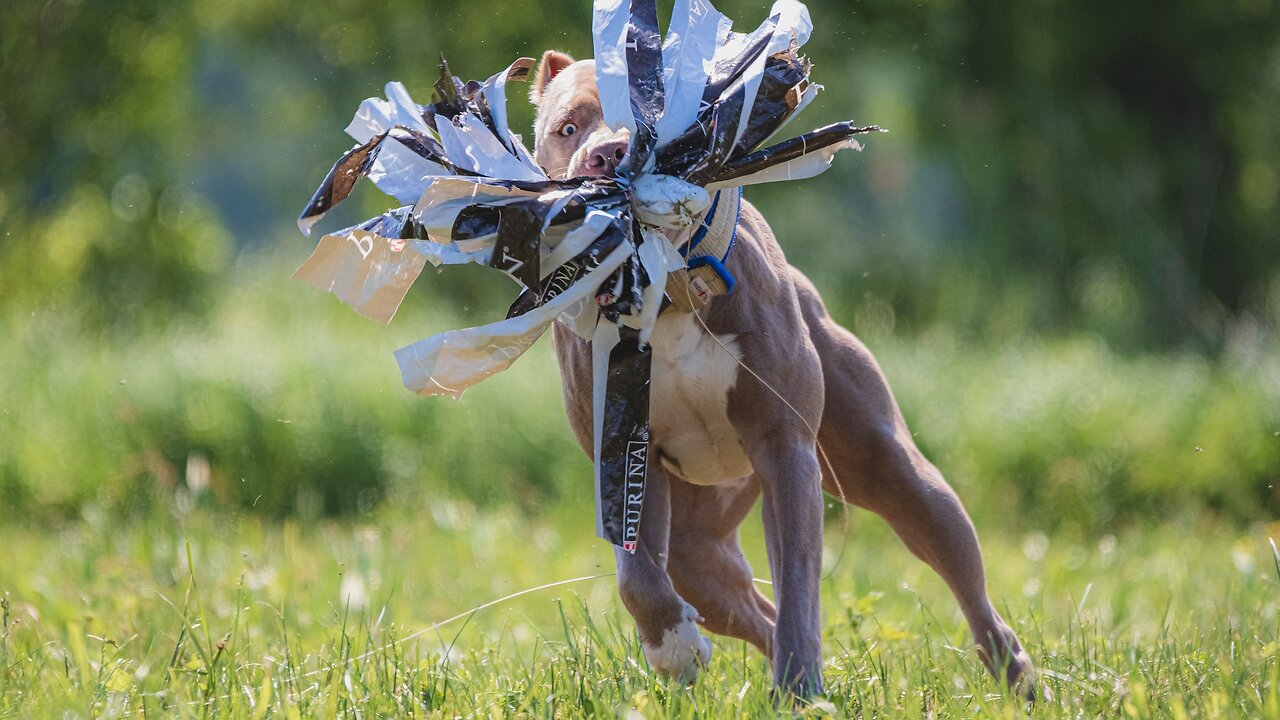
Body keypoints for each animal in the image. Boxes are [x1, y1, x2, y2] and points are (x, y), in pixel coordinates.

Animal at [529, 49, 1039, 696]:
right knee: (738, 605)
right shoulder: (620, 452)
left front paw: (800, 690)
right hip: (698, 548)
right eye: (567, 128)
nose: (607, 155)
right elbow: (635, 576)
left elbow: (798, 575)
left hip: (894, 472)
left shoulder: (784, 446)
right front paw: (674, 647)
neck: (667, 291)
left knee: (963, 577)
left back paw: (1017, 678)